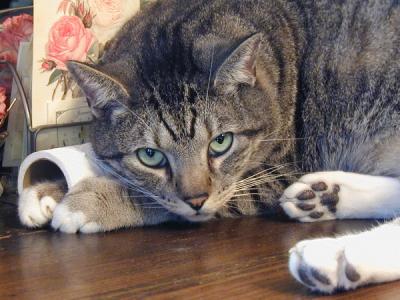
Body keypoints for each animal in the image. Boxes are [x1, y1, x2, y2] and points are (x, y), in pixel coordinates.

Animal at [18, 0, 400, 294]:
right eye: (150, 155)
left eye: (220, 143)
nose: (197, 199)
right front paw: (47, 190)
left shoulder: (283, 167)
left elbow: (154, 197)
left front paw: (88, 201)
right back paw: (324, 196)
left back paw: (337, 257)